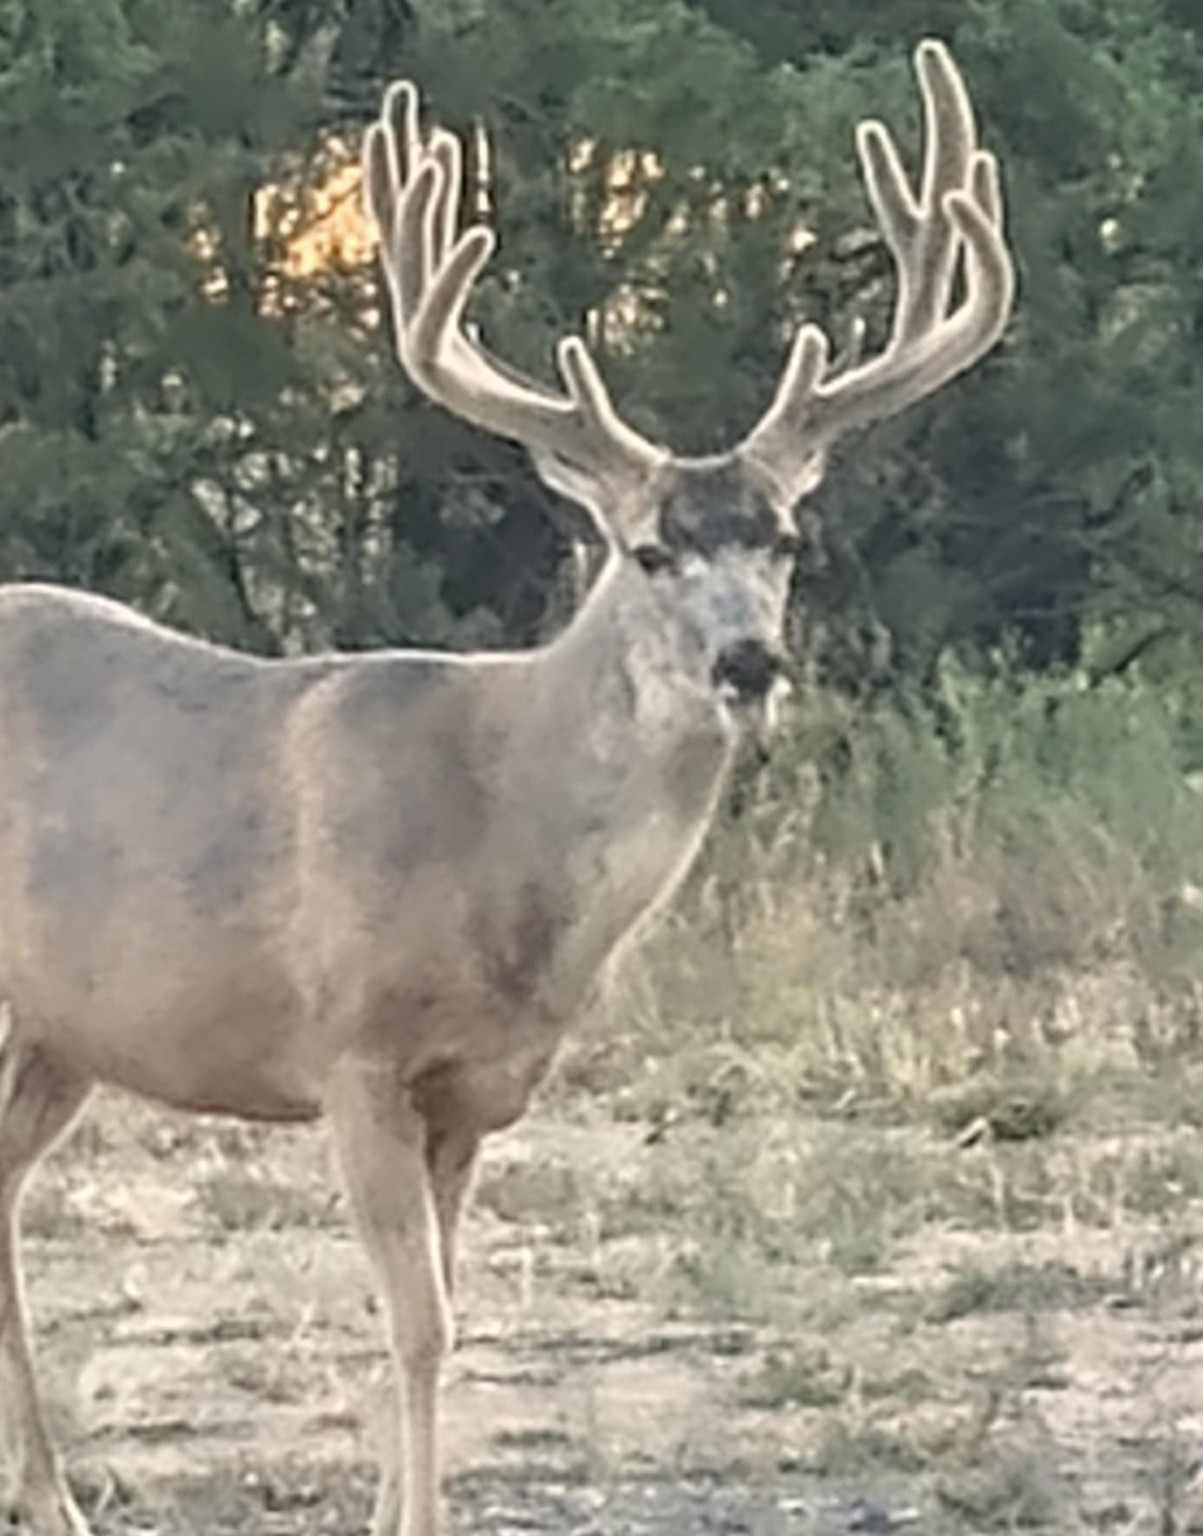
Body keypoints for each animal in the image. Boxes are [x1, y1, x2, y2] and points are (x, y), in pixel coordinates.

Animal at [0, 42, 1014, 1536]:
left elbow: (445, 1307)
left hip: (61, 1034)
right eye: (646, 549)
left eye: (783, 537)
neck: (501, 838)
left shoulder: (477, 1091)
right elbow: (421, 1324)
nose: (749, 662)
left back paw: (54, 1499)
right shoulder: (353, 1050)